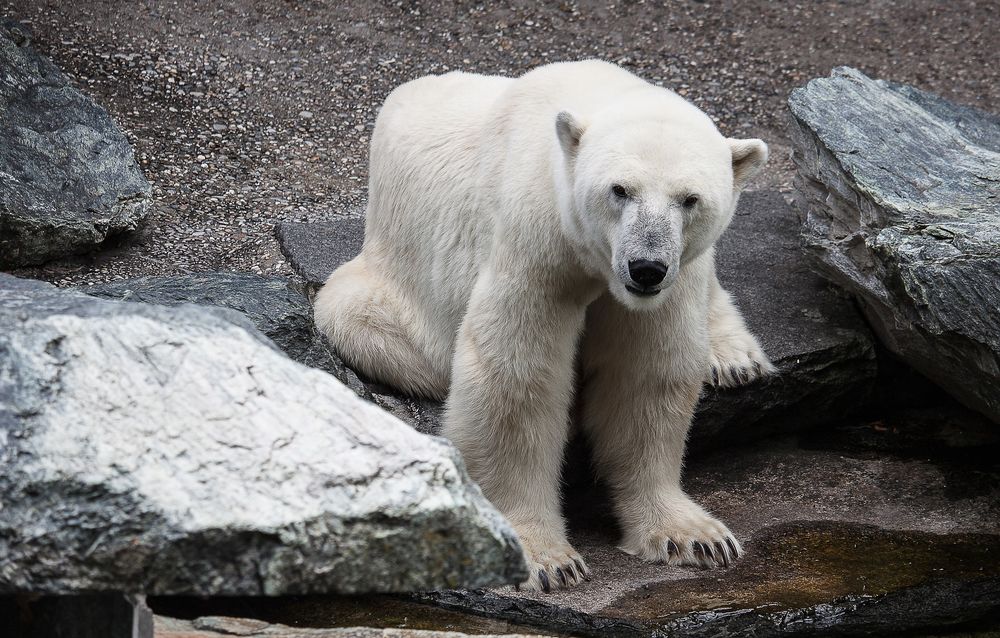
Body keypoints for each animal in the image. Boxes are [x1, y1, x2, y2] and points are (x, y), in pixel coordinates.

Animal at [314, 60, 773, 592]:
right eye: (620, 190)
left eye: (690, 199)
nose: (646, 268)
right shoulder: (537, 244)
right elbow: (518, 377)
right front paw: (546, 559)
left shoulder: (668, 284)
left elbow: (644, 375)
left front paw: (695, 537)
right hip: (385, 283)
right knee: (363, 322)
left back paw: (735, 356)